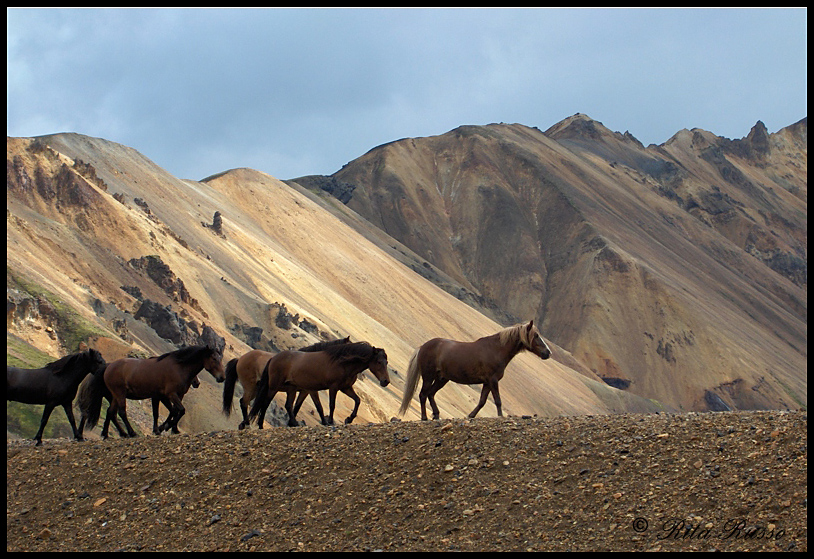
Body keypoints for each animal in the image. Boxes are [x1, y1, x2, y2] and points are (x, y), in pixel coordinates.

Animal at [79, 344, 223, 440]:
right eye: (214, 359)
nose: (222, 377)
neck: (179, 367)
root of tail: (108, 366)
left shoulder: (170, 396)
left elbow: (172, 411)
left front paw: (169, 428)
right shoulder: (170, 395)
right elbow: (179, 410)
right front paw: (165, 427)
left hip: (115, 396)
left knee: (110, 412)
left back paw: (110, 434)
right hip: (120, 394)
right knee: (121, 412)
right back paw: (131, 433)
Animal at [222, 336, 352, 428]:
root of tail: (240, 359)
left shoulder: (303, 391)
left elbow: (296, 407)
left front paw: (291, 423)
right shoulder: (310, 390)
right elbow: (318, 406)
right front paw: (325, 423)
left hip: (256, 389)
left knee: (243, 402)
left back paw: (244, 424)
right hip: (252, 387)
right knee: (245, 402)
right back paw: (248, 424)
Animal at [249, 342, 388, 428]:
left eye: (386, 362)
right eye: (379, 362)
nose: (386, 381)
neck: (343, 363)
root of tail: (274, 358)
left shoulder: (345, 388)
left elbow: (357, 400)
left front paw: (349, 419)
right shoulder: (333, 387)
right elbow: (331, 405)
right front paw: (330, 422)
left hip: (291, 389)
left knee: (288, 405)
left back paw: (294, 423)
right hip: (274, 387)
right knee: (265, 403)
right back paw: (260, 425)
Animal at [398, 322, 552, 422]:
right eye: (536, 335)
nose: (547, 353)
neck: (496, 350)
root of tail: (423, 347)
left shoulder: (487, 382)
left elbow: (482, 401)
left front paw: (470, 415)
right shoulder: (492, 380)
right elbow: (497, 400)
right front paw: (500, 416)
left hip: (442, 379)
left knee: (430, 394)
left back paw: (436, 415)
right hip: (428, 377)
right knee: (423, 394)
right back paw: (424, 417)